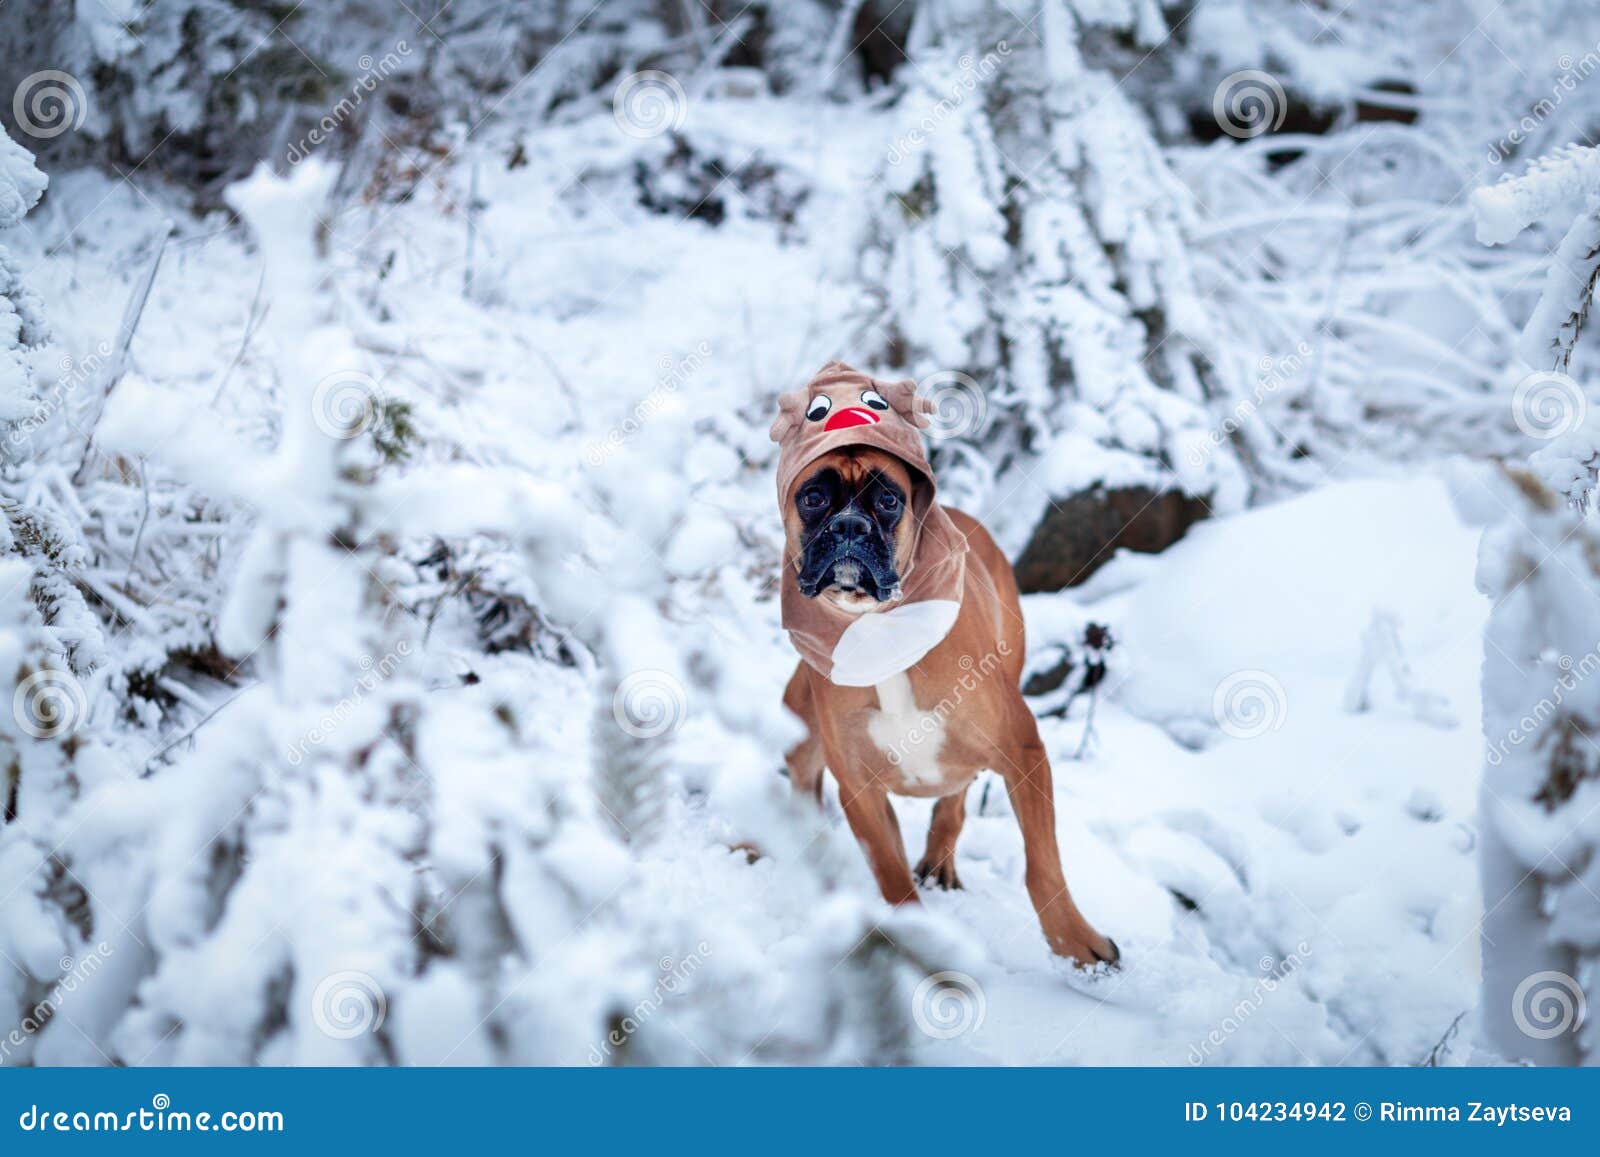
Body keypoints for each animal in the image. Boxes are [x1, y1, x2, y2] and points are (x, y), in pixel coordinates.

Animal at [771, 361, 1120, 966]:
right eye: (813, 498)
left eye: (888, 501)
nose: (849, 527)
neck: (879, 628)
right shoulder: (861, 790)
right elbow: (892, 881)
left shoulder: (1025, 753)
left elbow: (1043, 868)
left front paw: (1076, 944)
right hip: (801, 723)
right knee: (802, 783)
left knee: (955, 798)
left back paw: (940, 858)